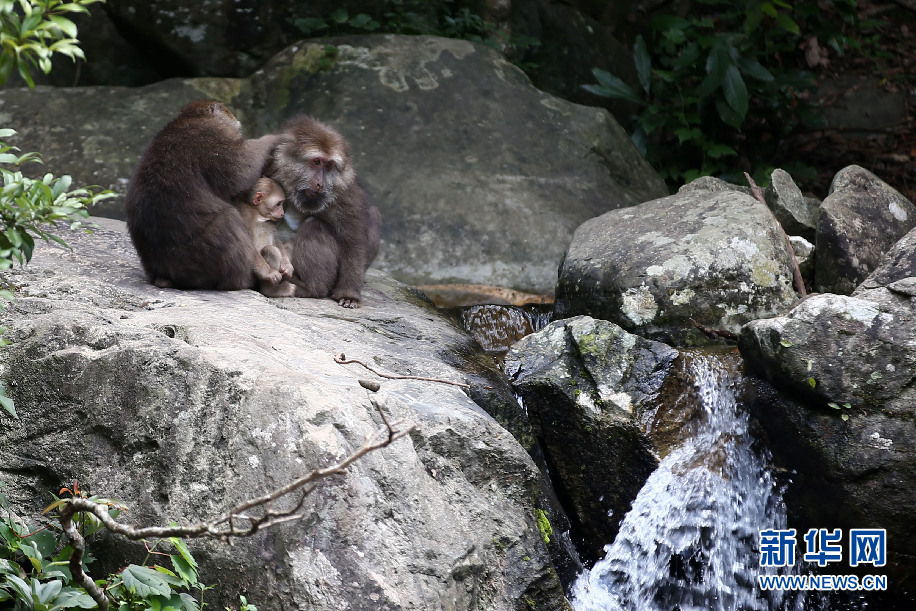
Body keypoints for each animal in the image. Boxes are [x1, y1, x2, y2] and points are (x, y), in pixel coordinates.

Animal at [125, 100, 282, 292]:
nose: (237, 122)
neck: (192, 117)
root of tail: (162, 275)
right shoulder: (214, 134)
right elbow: (241, 167)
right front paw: (273, 138)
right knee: (228, 218)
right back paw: (243, 280)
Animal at [266, 115, 382, 308]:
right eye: (317, 162)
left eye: (329, 165)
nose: (320, 183)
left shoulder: (343, 193)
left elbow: (353, 242)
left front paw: (349, 294)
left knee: (313, 225)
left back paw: (311, 288)